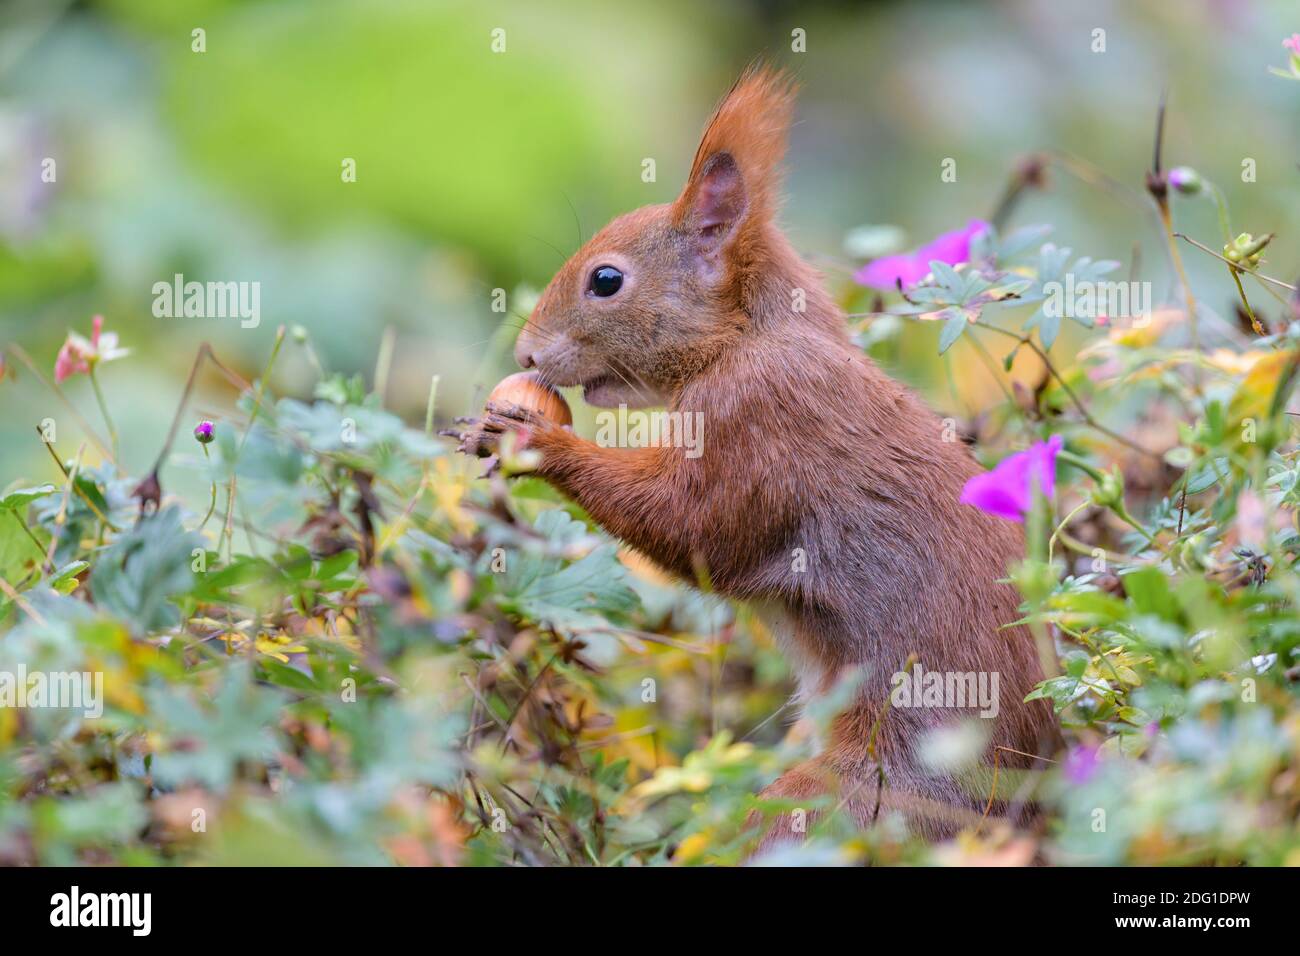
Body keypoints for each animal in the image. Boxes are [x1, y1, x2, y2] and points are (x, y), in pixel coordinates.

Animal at [452, 65, 1061, 846]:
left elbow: (693, 528)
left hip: (865, 795)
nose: (527, 354)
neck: (748, 336)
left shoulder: (759, 418)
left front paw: (534, 441)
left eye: (606, 281)